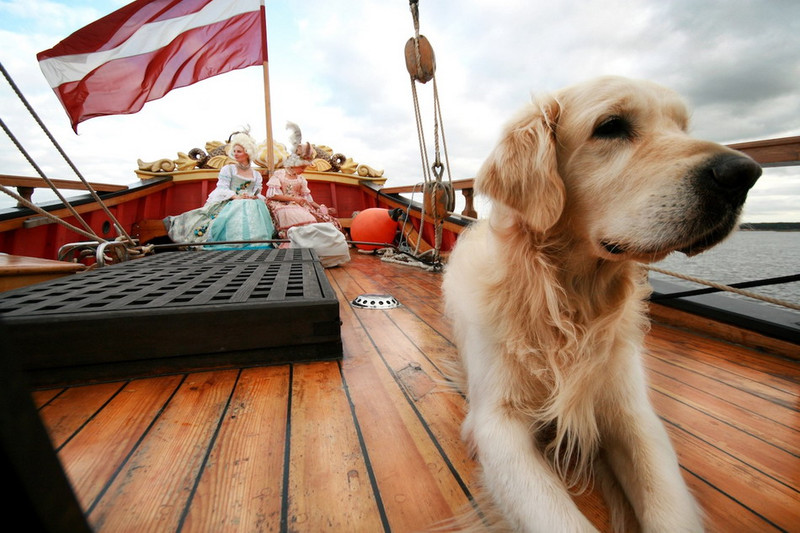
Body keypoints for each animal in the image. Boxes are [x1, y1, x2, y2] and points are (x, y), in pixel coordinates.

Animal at [444, 76, 764, 532]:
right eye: (611, 126)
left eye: (683, 128)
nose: (744, 173)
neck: (572, 302)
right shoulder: (496, 422)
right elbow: (560, 519)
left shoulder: (633, 414)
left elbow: (669, 506)